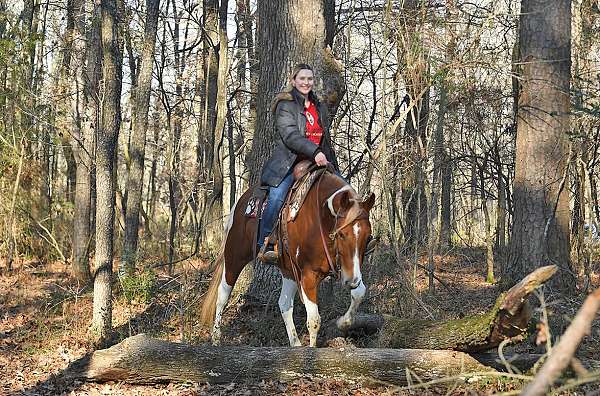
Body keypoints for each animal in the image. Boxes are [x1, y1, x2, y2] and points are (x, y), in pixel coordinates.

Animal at [199, 170, 372, 346]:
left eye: (368, 237)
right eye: (342, 234)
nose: (351, 281)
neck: (321, 219)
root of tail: (241, 202)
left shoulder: (349, 269)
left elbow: (360, 292)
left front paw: (342, 322)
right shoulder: (308, 276)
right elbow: (314, 320)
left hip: (288, 270)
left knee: (284, 304)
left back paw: (295, 344)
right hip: (235, 256)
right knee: (222, 294)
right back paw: (216, 339)